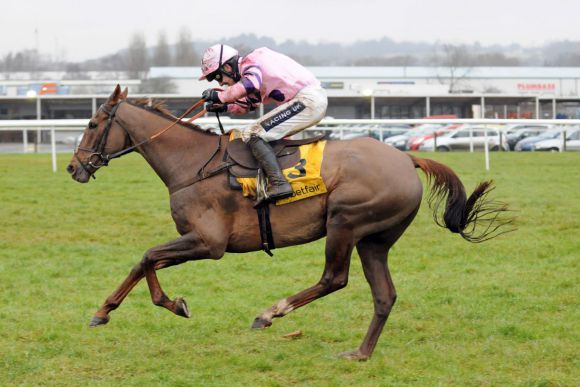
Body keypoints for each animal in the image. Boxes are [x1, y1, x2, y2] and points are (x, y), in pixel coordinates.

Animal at [68, 85, 510, 360]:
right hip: (374, 240)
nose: (74, 168)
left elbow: (147, 257)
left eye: (92, 125)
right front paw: (107, 311)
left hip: (345, 222)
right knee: (384, 295)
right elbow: (144, 262)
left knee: (334, 279)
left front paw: (170, 304)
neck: (192, 164)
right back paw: (360, 353)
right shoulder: (198, 242)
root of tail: (406, 158)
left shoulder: (208, 243)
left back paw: (269, 314)